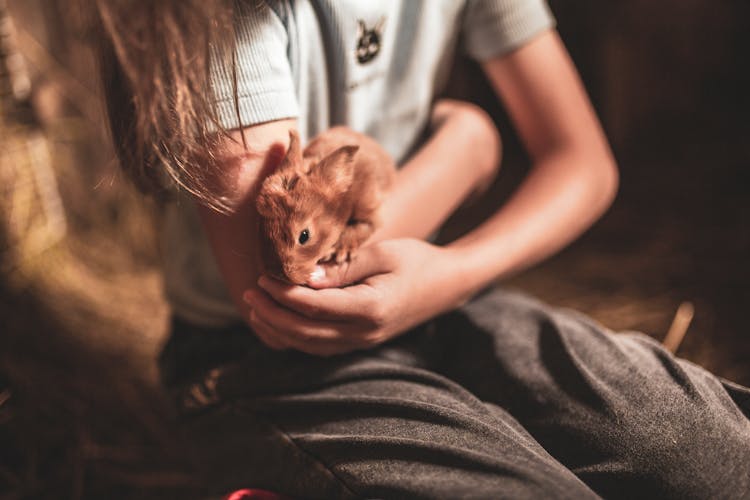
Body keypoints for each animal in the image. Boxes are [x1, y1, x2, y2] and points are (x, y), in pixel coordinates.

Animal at [258, 127, 396, 286]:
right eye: (262, 226)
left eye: (304, 236)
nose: (277, 275)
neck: (344, 199)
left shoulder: (369, 211)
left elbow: (362, 227)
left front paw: (340, 251)